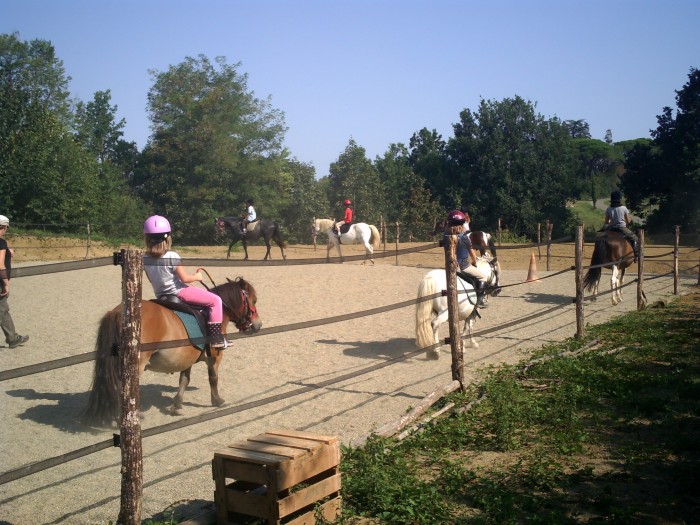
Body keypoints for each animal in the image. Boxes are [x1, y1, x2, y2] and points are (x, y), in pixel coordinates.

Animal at [82, 276, 262, 424]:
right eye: (254, 300)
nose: (258, 325)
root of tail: (118, 312)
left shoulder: (187, 358)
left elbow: (184, 380)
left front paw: (177, 405)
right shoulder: (215, 356)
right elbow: (213, 377)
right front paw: (217, 400)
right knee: (123, 389)